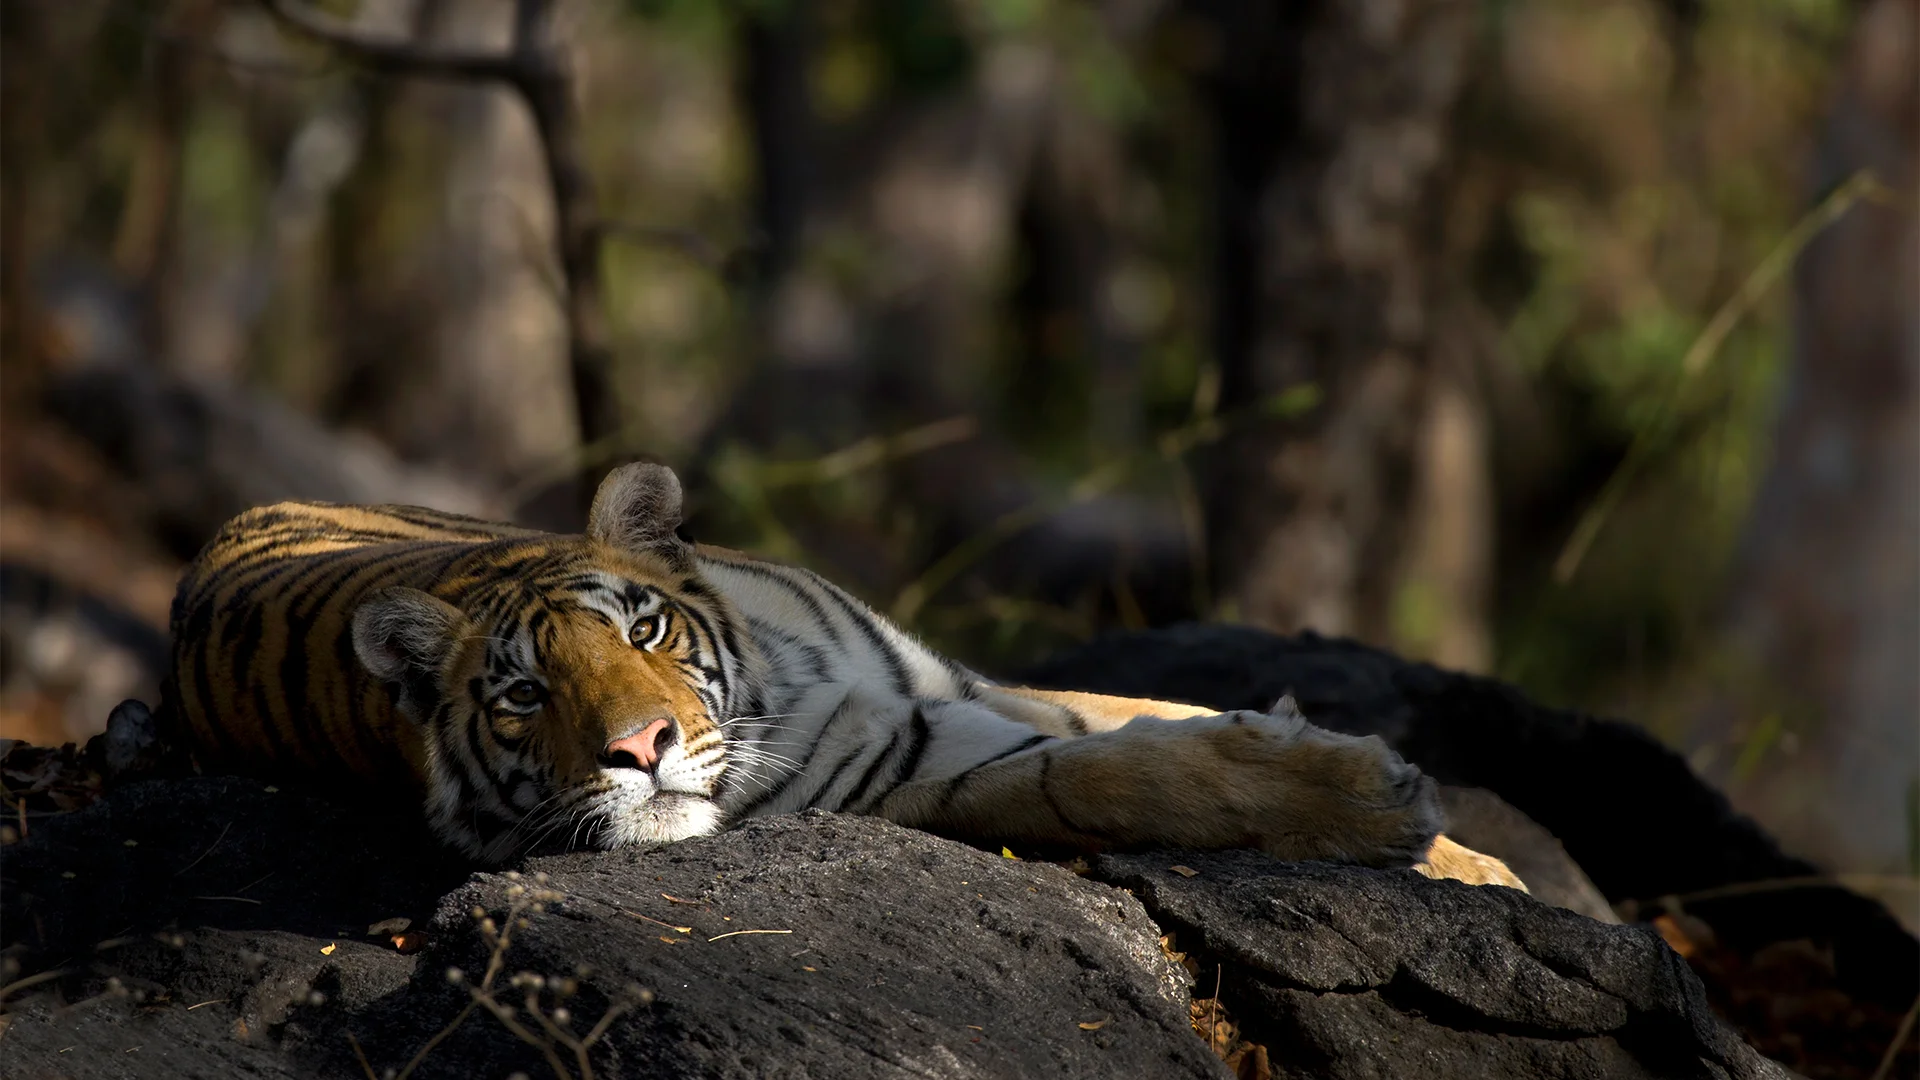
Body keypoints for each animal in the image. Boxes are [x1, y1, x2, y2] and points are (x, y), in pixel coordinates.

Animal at [162, 462, 1521, 889]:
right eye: (521, 698)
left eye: (643, 634)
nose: (639, 751)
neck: (778, 681)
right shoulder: (916, 767)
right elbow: (1115, 772)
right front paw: (1381, 805)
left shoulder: (963, 679)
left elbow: (1156, 711)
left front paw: (1481, 865)